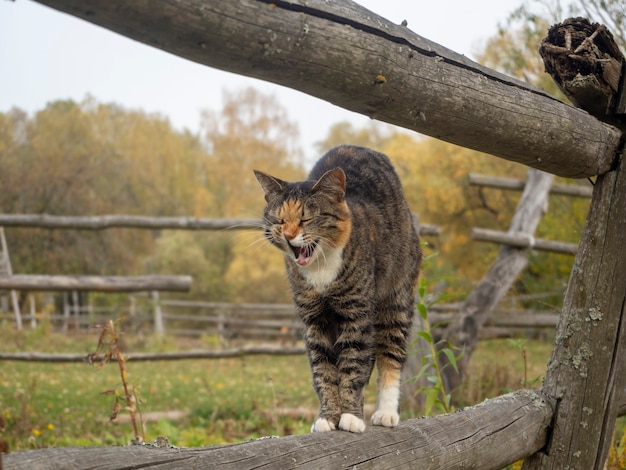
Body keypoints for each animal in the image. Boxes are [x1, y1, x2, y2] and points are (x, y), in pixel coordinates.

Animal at [252, 144, 420, 434]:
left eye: (306, 219)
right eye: (279, 220)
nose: (288, 235)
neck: (321, 270)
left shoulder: (357, 314)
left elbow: (353, 364)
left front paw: (351, 416)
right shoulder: (314, 320)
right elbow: (324, 371)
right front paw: (328, 417)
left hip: (396, 298)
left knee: (390, 353)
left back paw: (386, 413)